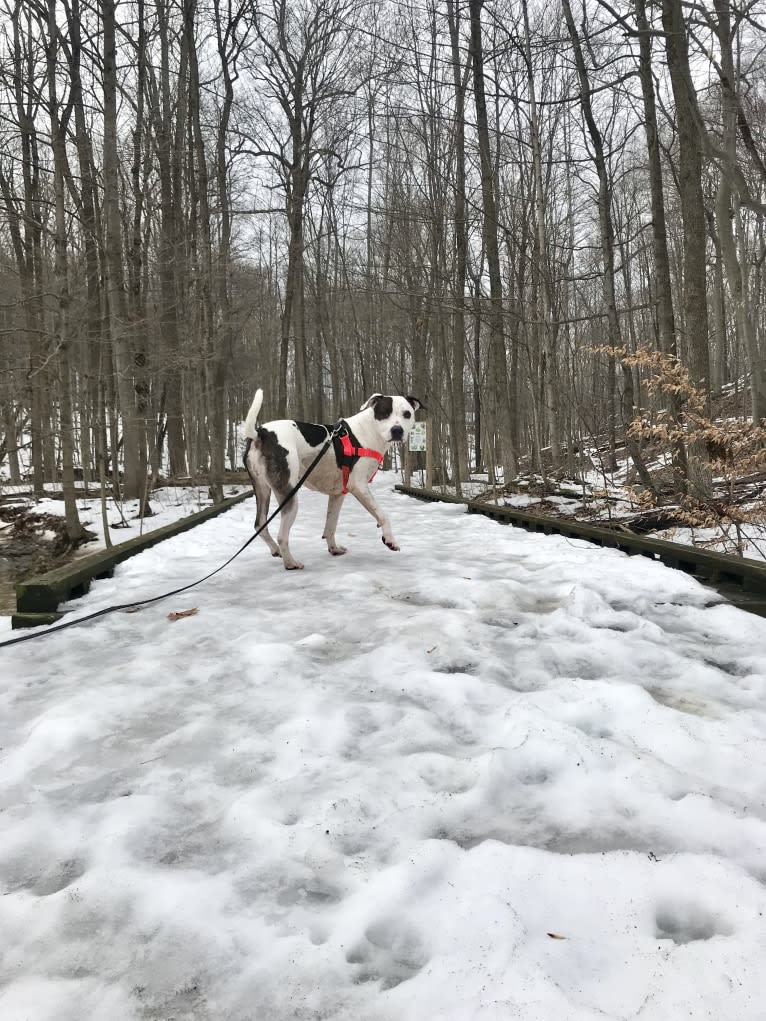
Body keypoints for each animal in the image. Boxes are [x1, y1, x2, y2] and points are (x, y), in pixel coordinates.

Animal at [244, 387, 426, 571]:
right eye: (385, 412)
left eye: (407, 414)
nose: (397, 430)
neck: (369, 431)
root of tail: (261, 433)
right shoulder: (359, 486)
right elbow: (382, 514)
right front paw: (389, 540)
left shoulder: (338, 494)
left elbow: (331, 525)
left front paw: (333, 548)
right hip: (289, 494)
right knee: (282, 535)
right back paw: (290, 563)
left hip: (262, 490)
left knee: (259, 525)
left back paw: (276, 550)